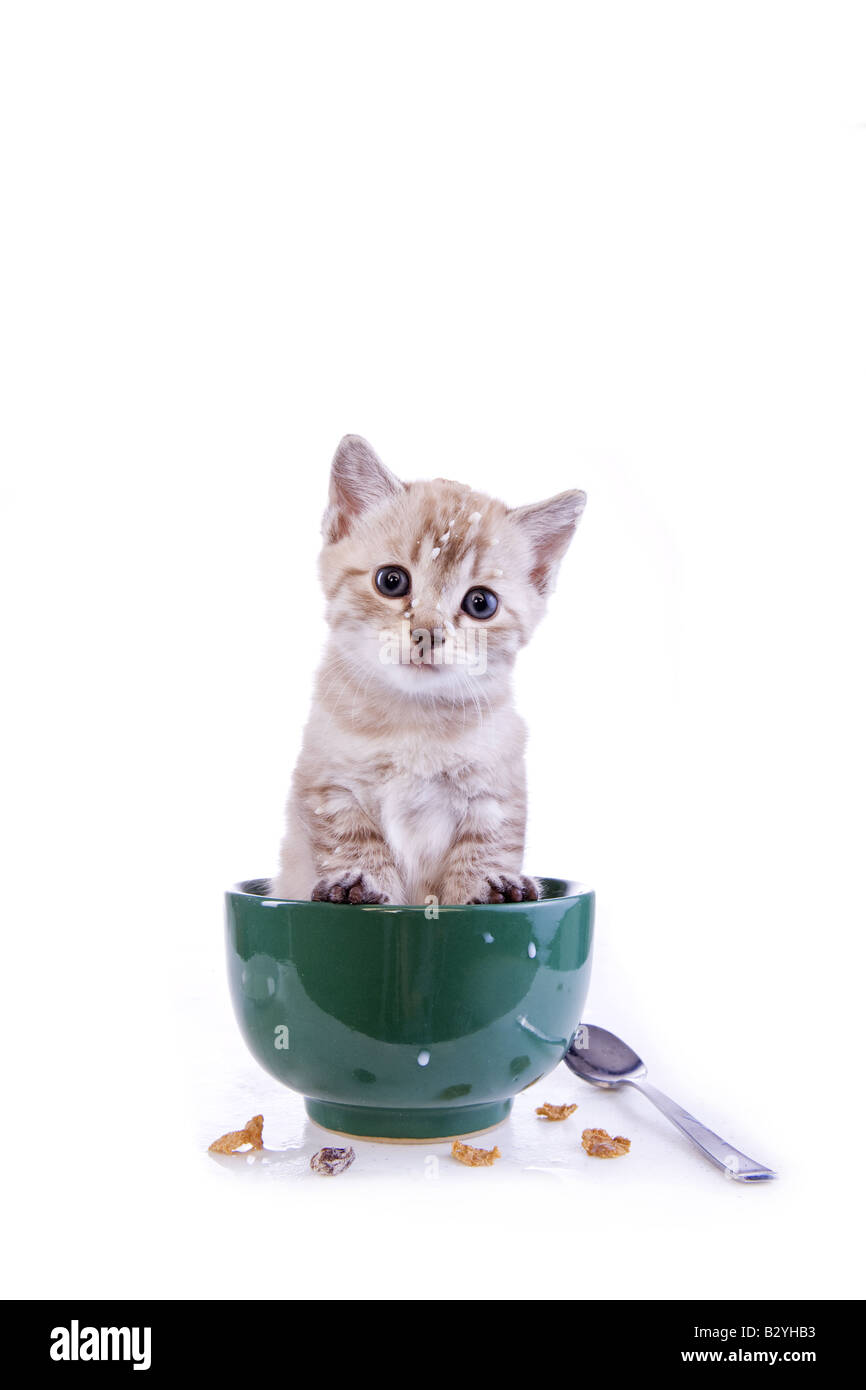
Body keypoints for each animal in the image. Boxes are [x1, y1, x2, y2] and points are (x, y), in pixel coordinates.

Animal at [273, 436, 586, 911]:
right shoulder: (328, 786)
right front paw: (360, 881)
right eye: (391, 580)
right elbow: (351, 840)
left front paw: (489, 886)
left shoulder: (497, 796)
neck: (415, 722)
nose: (427, 633)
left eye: (481, 603)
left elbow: (486, 846)